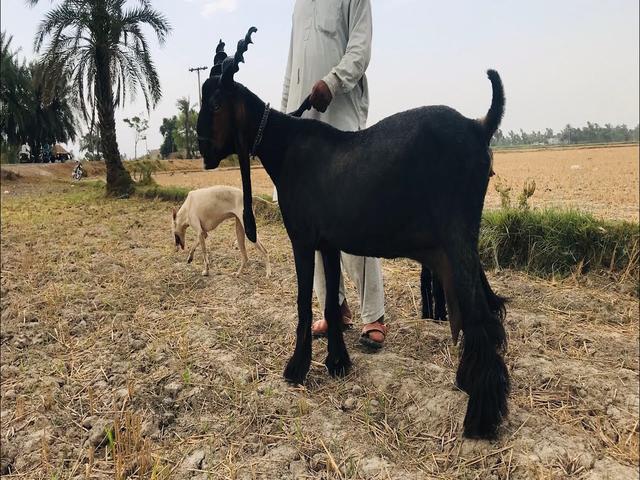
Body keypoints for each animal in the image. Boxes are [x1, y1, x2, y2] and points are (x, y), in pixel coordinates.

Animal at [197, 28, 508, 440]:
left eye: (216, 104)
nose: (202, 149)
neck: (286, 144)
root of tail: (478, 126)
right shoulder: (329, 244)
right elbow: (330, 302)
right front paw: (338, 362)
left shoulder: (303, 239)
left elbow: (303, 302)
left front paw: (296, 368)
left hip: (456, 240)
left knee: (482, 316)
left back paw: (480, 419)